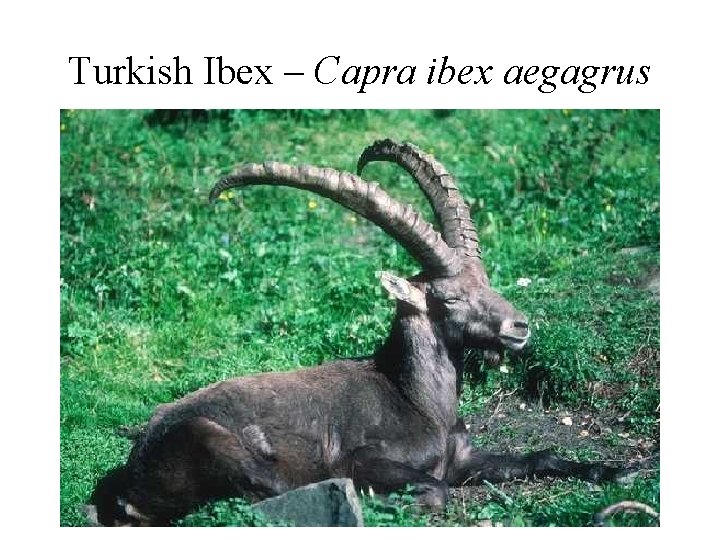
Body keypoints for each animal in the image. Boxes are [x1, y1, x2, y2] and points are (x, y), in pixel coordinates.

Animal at [88, 140, 623, 526]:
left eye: (486, 282)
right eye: (450, 299)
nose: (519, 327)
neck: (419, 402)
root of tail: (131, 478)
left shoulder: (465, 458)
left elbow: (542, 455)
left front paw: (617, 470)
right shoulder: (365, 460)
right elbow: (436, 489)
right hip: (211, 440)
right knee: (267, 495)